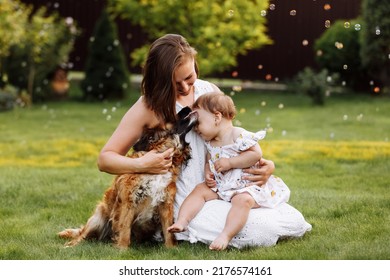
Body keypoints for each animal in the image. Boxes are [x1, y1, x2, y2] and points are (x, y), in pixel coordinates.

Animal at [58, 107, 197, 249]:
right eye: (172, 115)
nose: (188, 108)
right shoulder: (128, 203)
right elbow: (124, 230)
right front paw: (123, 250)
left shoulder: (165, 204)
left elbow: (169, 231)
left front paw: (171, 249)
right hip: (97, 218)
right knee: (81, 236)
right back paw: (69, 246)